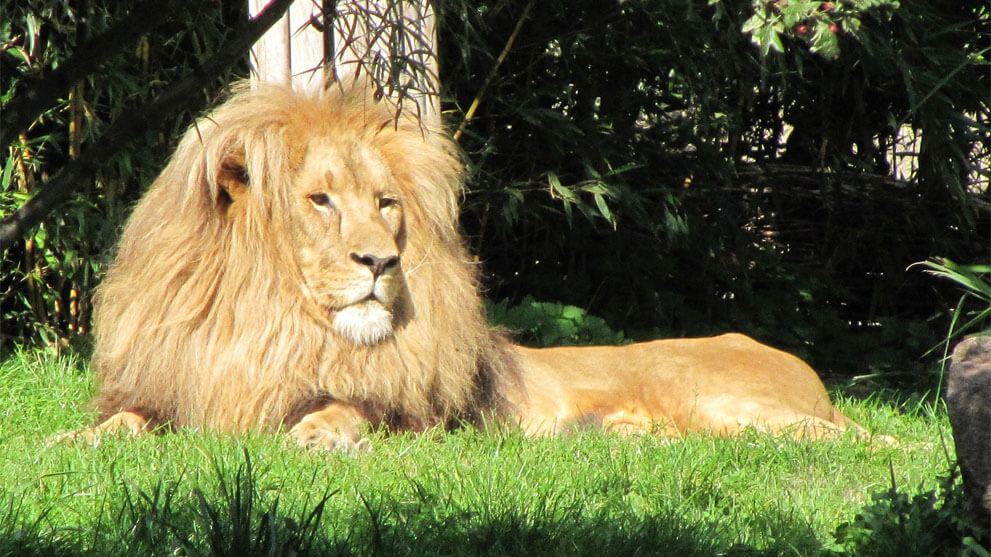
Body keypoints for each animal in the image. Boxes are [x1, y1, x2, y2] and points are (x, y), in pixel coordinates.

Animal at [64, 82, 868, 450]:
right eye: (321, 200)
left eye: (385, 203)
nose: (381, 261)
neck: (268, 318)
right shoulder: (180, 387)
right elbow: (129, 419)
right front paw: (75, 441)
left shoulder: (417, 415)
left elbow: (348, 405)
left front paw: (318, 433)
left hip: (720, 401)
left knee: (869, 438)